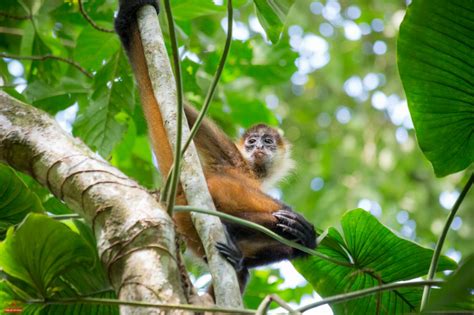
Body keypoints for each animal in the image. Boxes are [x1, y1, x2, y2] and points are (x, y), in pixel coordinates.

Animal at [114, 0, 314, 296]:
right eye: (252, 141)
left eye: (267, 141)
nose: (258, 146)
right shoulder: (232, 156)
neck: (252, 169)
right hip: (206, 200)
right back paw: (298, 230)